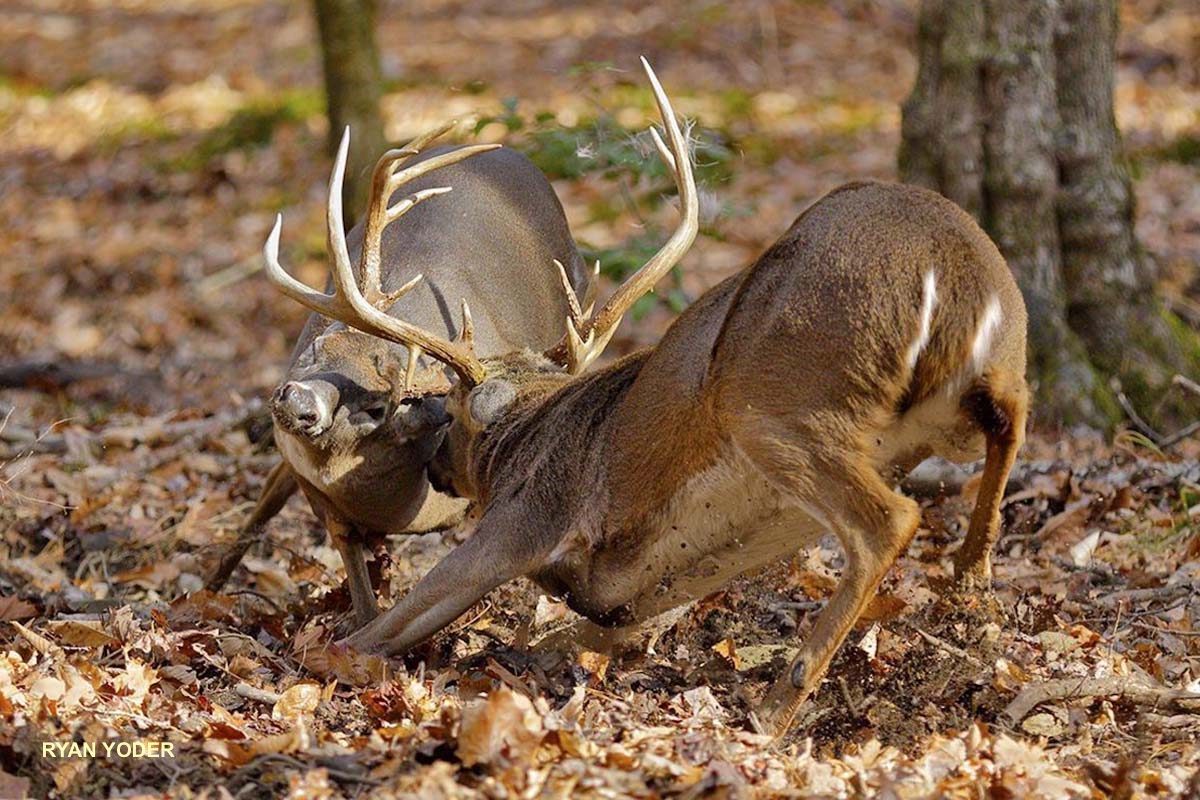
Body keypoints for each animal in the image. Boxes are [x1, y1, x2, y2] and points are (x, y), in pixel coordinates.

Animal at [266, 57, 1029, 736]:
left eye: (447, 411)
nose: (435, 468)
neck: (528, 431)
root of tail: (947, 279)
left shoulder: (525, 517)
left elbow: (369, 636)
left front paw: (315, 660)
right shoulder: (627, 609)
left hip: (777, 400)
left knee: (890, 519)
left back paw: (778, 703)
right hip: (997, 357)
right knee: (1008, 420)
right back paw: (972, 585)